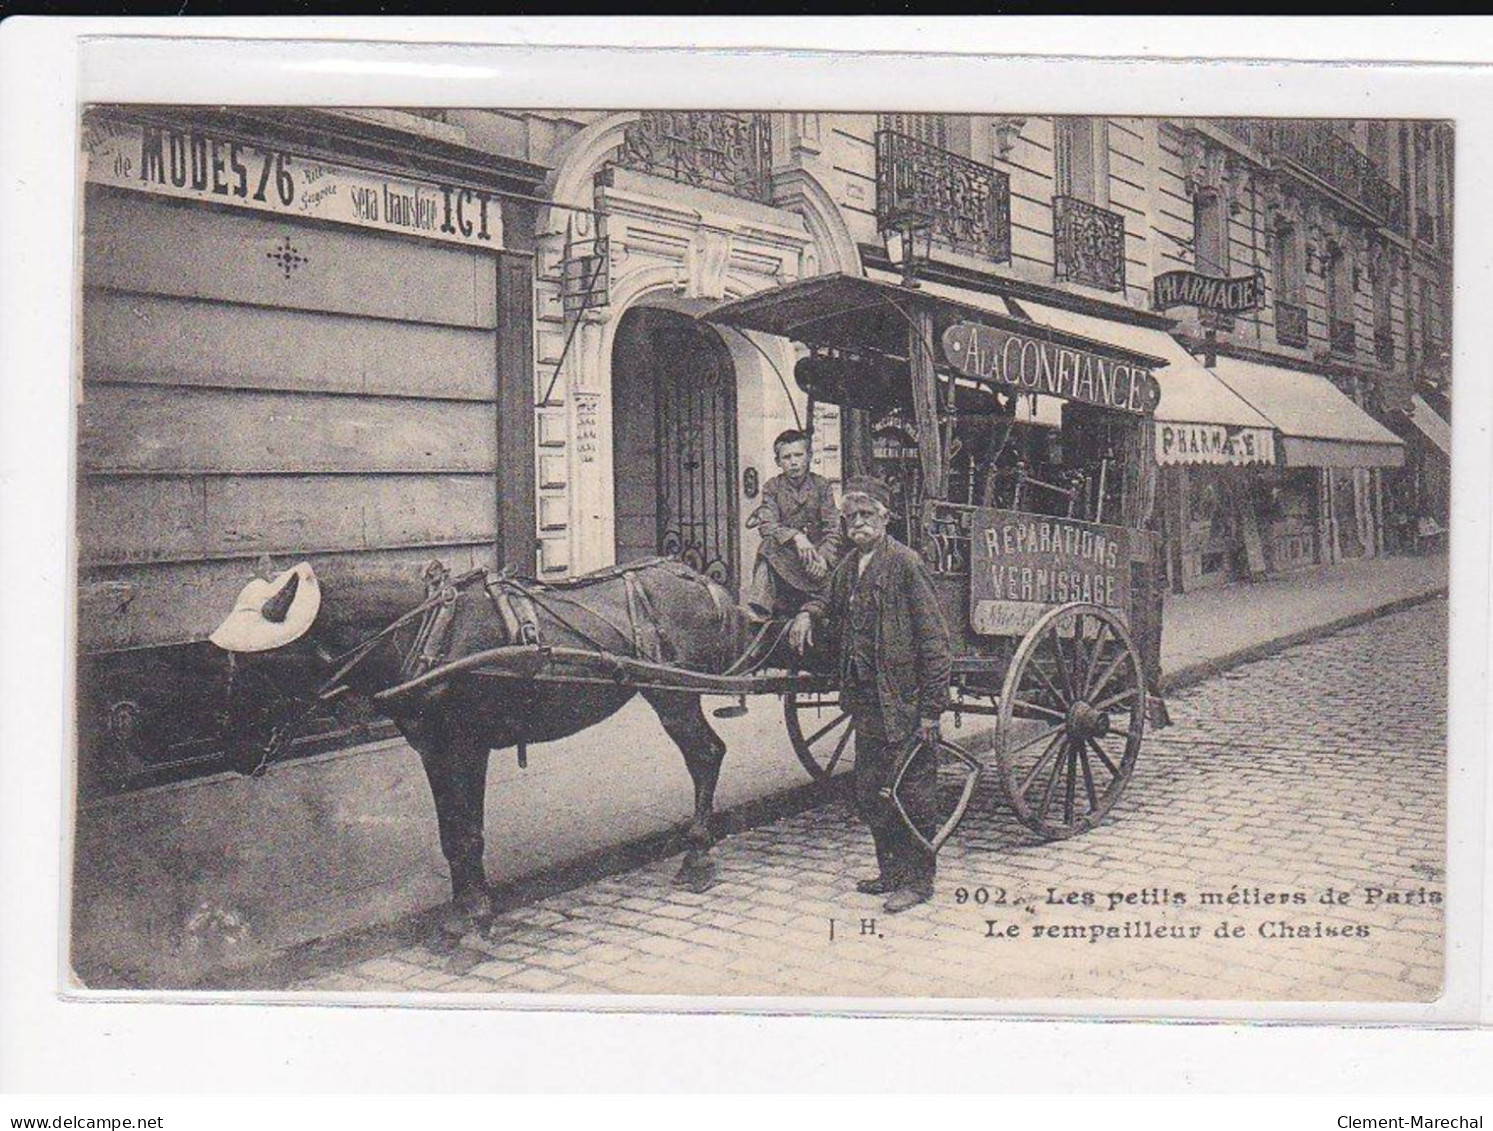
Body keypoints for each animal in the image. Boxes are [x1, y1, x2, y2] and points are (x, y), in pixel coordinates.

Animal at [213, 555, 758, 937]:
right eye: (230, 663)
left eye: (263, 665)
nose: (236, 752)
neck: (431, 634)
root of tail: (701, 580)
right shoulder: (434, 749)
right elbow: (450, 835)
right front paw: (462, 911)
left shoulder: (466, 747)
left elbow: (468, 835)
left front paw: (473, 916)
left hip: (674, 695)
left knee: (706, 756)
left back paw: (697, 855)